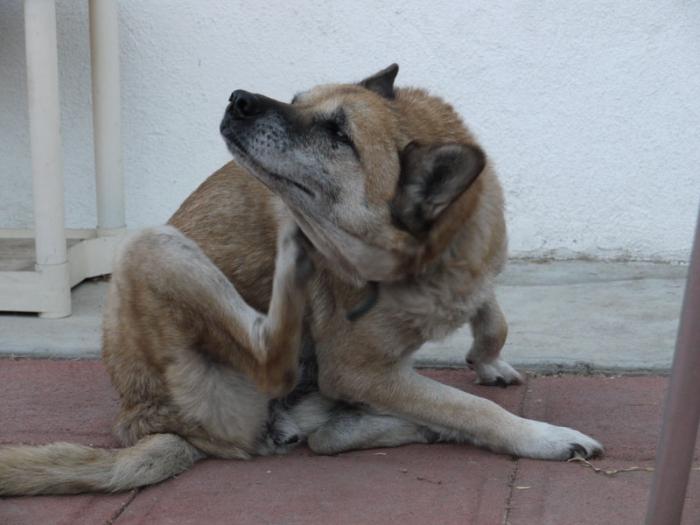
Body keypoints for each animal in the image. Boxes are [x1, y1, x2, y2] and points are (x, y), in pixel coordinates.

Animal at [0, 64, 600, 496]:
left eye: (338, 132)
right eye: (296, 98)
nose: (238, 98)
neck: (433, 258)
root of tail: (146, 421)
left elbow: (491, 314)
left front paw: (489, 359)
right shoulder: (357, 370)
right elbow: (474, 408)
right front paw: (543, 437)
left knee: (329, 435)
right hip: (154, 247)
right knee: (280, 361)